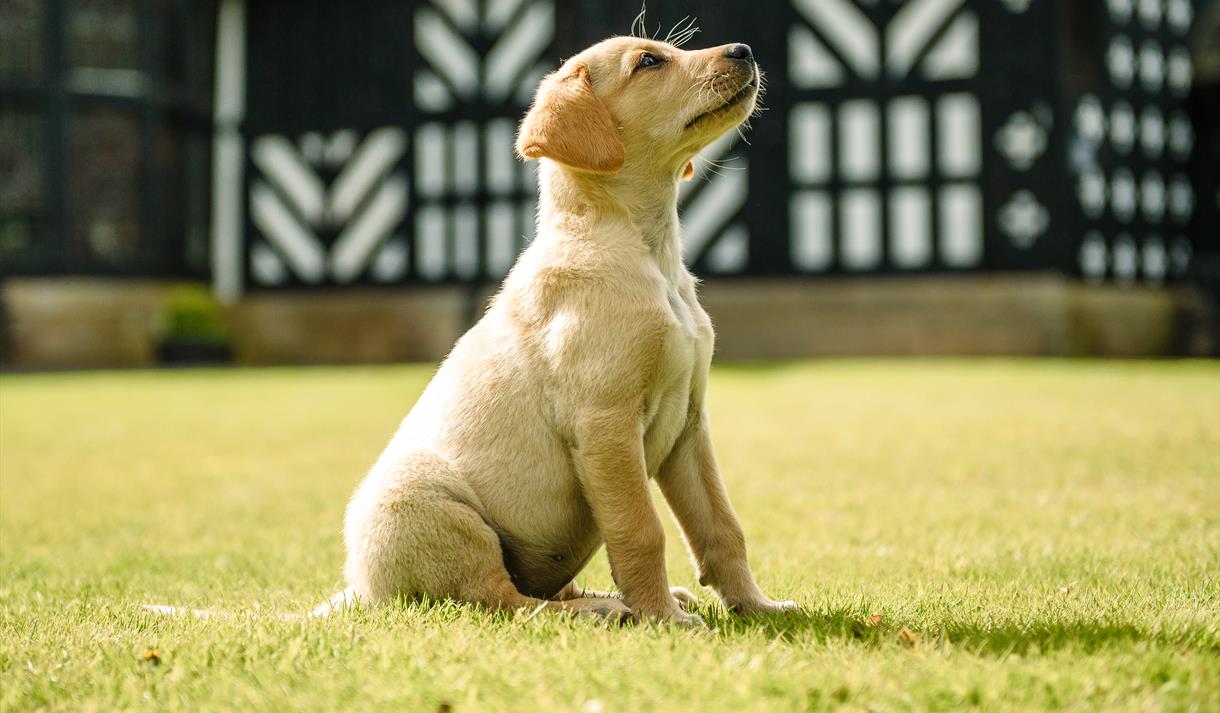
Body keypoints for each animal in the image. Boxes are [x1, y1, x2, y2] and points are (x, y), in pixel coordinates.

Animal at [339, 36, 795, 625]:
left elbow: (721, 527)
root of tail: (359, 590)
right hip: (429, 503)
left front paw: (758, 607)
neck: (649, 254)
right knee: (505, 602)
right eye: (649, 62)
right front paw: (663, 621)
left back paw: (619, 599)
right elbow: (641, 530)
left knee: (542, 591)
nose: (743, 50)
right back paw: (606, 611)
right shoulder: (605, 422)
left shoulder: (689, 425)